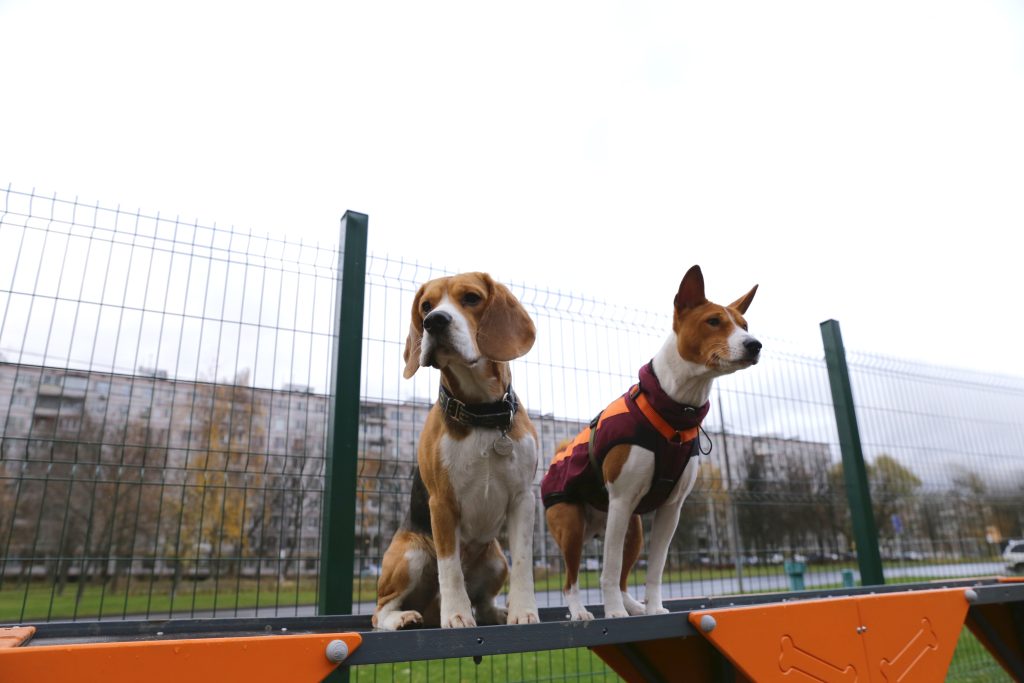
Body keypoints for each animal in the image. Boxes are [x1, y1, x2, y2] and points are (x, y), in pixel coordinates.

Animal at [370, 272, 544, 630]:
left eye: (472, 298)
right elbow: (449, 566)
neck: (481, 414)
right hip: (410, 554)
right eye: (426, 306)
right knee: (379, 610)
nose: (433, 322)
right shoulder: (441, 503)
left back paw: (496, 612)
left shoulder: (523, 498)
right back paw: (403, 618)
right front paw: (456, 616)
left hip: (496, 558)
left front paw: (523, 611)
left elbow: (523, 561)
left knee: (485, 602)